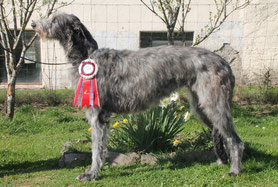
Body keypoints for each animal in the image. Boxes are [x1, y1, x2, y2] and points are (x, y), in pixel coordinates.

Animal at [32, 12, 243, 180]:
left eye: (54, 19)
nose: (34, 24)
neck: (87, 56)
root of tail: (224, 62)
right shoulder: (104, 117)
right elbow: (102, 147)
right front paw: (98, 169)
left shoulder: (97, 114)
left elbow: (95, 148)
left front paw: (91, 174)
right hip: (201, 105)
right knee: (220, 133)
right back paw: (221, 162)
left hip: (214, 103)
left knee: (235, 140)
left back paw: (234, 170)